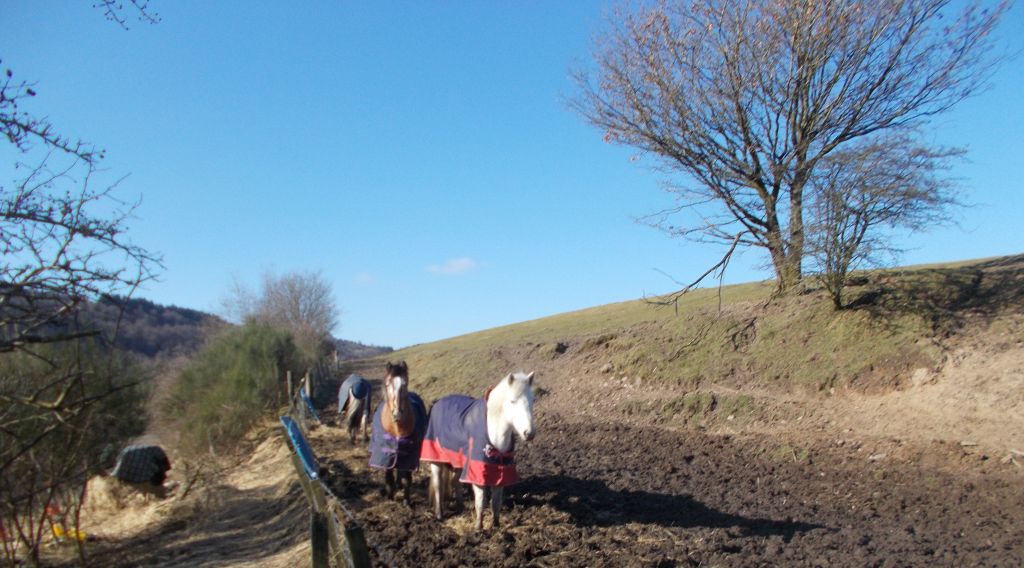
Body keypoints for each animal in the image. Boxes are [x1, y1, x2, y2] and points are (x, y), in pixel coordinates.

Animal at [370, 362, 425, 505]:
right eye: (388, 384)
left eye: (405, 384)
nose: (397, 414)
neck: (396, 428)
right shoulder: (386, 454)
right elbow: (388, 476)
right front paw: (390, 497)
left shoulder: (409, 456)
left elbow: (406, 478)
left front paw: (406, 501)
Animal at [421, 370, 540, 532]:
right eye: (512, 401)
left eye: (532, 400)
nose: (529, 433)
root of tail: (437, 403)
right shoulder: (477, 471)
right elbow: (480, 501)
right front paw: (478, 527)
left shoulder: (501, 472)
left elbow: (496, 502)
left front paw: (496, 525)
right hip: (436, 460)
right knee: (438, 485)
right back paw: (439, 515)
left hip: (459, 462)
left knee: (455, 481)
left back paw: (460, 507)